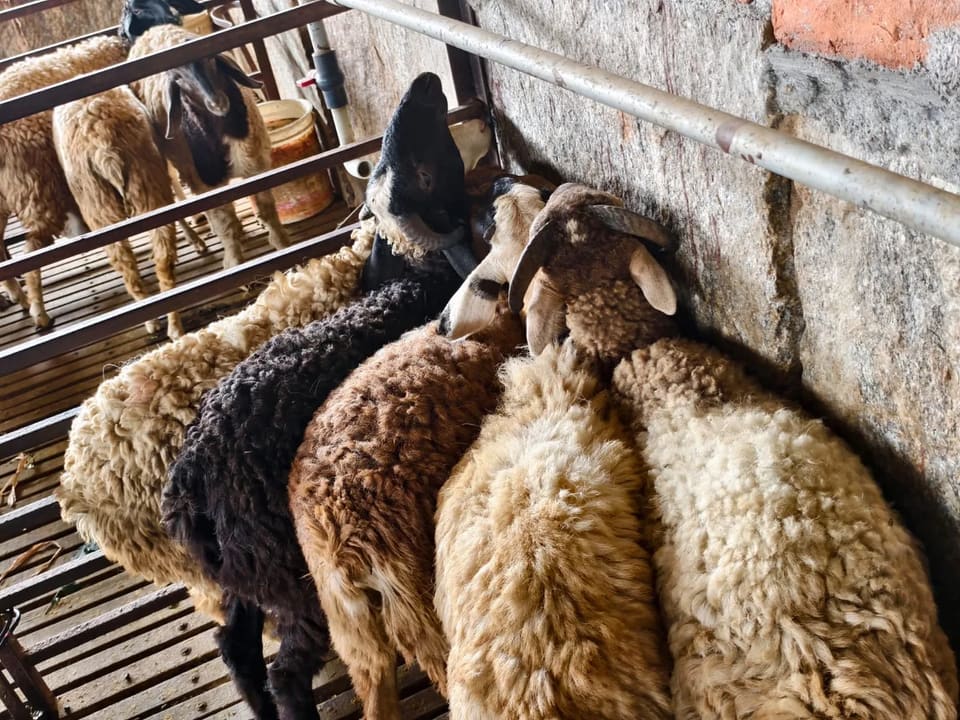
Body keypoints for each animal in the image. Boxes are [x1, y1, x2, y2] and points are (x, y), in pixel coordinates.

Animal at [52, 84, 208, 339]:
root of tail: (104, 150)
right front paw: (196, 238)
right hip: (137, 190)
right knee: (153, 261)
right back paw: (167, 324)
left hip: (104, 201)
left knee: (136, 265)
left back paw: (159, 322)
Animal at [127, 23, 289, 268]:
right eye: (179, 80)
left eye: (212, 60)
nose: (218, 103)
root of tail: (153, 29)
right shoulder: (204, 183)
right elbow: (225, 224)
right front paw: (234, 263)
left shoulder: (255, 166)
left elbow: (266, 209)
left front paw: (281, 243)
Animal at [160, 72, 488, 720]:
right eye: (423, 172)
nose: (427, 82)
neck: (410, 280)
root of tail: (190, 487)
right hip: (291, 576)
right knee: (287, 668)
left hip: (244, 574)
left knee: (234, 644)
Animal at [286, 180, 547, 720]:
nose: (504, 182)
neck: (493, 328)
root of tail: (340, 545)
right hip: (414, 598)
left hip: (352, 628)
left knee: (375, 692)